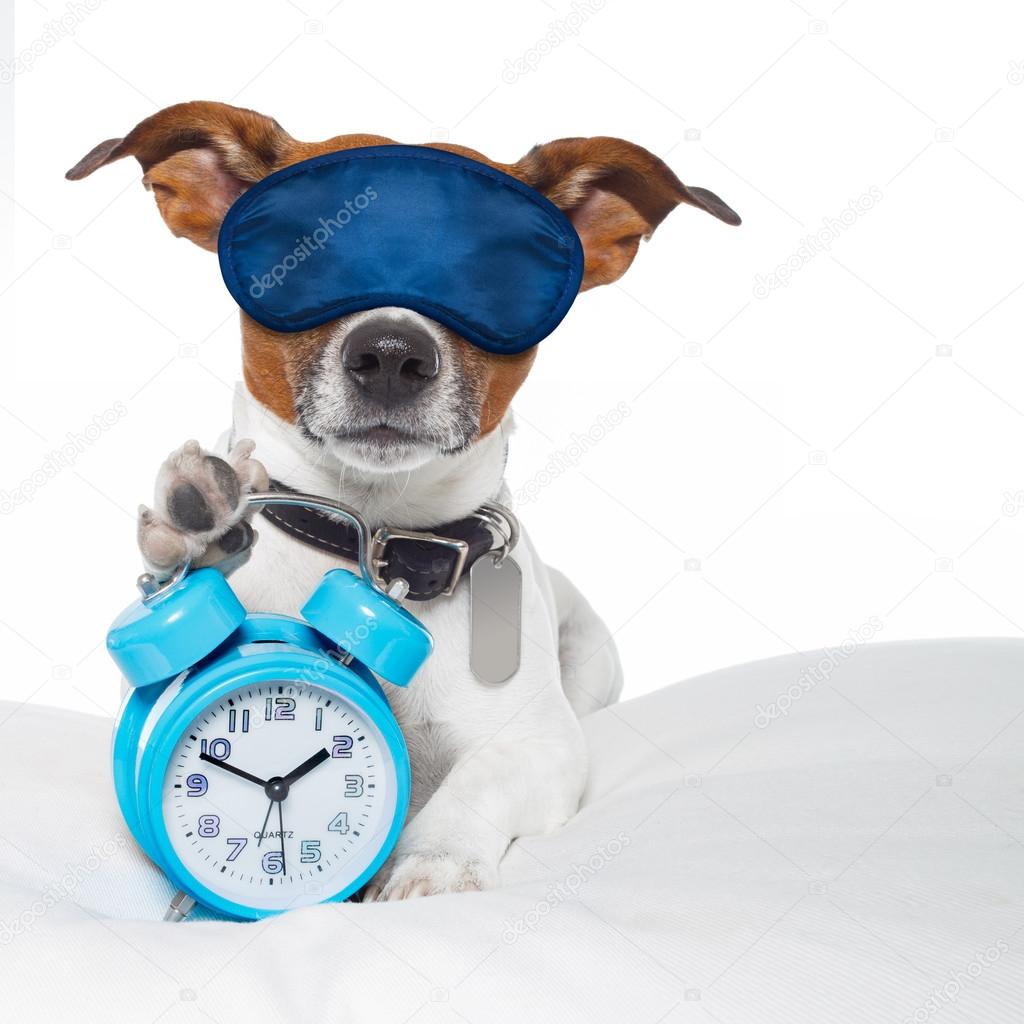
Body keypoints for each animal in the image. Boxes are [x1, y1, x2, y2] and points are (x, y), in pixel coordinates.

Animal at [66, 103, 737, 901]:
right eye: (306, 256)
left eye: (489, 276)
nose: (391, 352)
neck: (379, 541)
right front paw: (204, 524)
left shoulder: (545, 744)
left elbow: (479, 778)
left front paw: (432, 860)